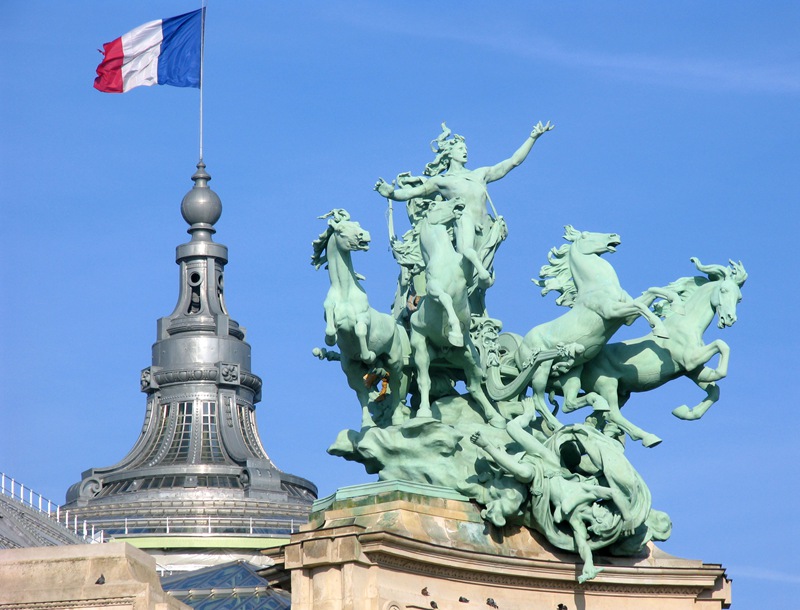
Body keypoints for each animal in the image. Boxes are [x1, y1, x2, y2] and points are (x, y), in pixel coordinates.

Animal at [312, 209, 412, 428]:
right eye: (341, 229)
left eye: (357, 224)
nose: (363, 235)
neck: (344, 291)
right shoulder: (329, 313)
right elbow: (330, 331)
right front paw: (330, 339)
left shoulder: (363, 319)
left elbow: (359, 331)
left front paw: (368, 355)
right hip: (350, 369)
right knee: (361, 393)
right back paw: (367, 423)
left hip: (395, 359)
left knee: (396, 384)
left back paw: (397, 418)